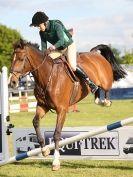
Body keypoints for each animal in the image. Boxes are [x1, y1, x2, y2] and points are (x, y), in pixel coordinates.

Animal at [8, 39, 127, 170]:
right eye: (12, 58)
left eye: (21, 58)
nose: (12, 82)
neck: (48, 76)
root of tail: (95, 53)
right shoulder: (42, 106)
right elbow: (36, 122)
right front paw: (44, 150)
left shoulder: (62, 110)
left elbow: (56, 134)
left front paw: (55, 162)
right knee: (96, 91)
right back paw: (99, 99)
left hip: (106, 81)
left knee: (106, 89)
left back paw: (105, 101)